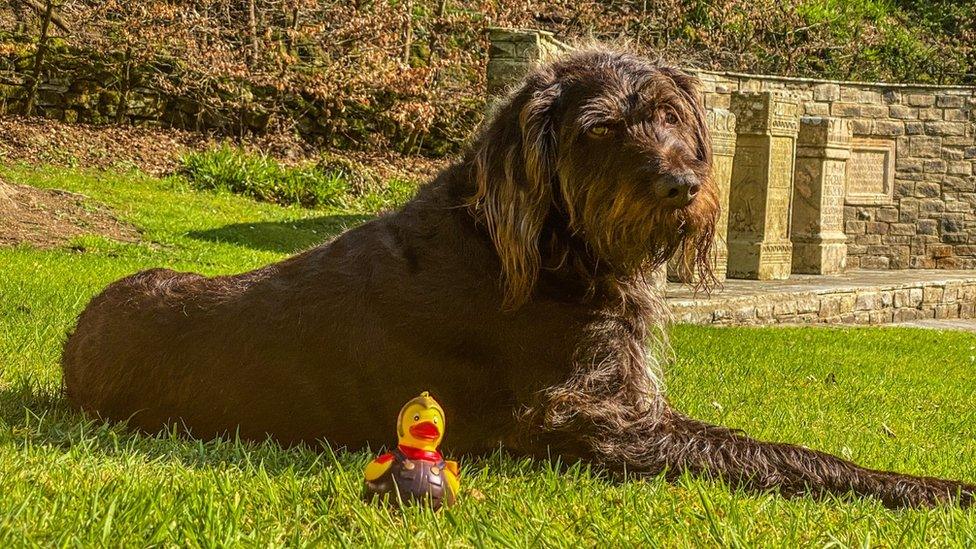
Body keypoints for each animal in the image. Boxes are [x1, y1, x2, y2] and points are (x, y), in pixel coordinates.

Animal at [65, 49, 972, 508]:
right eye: (600, 128)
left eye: (669, 116)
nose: (683, 185)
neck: (552, 247)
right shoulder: (602, 423)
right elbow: (784, 453)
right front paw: (931, 485)